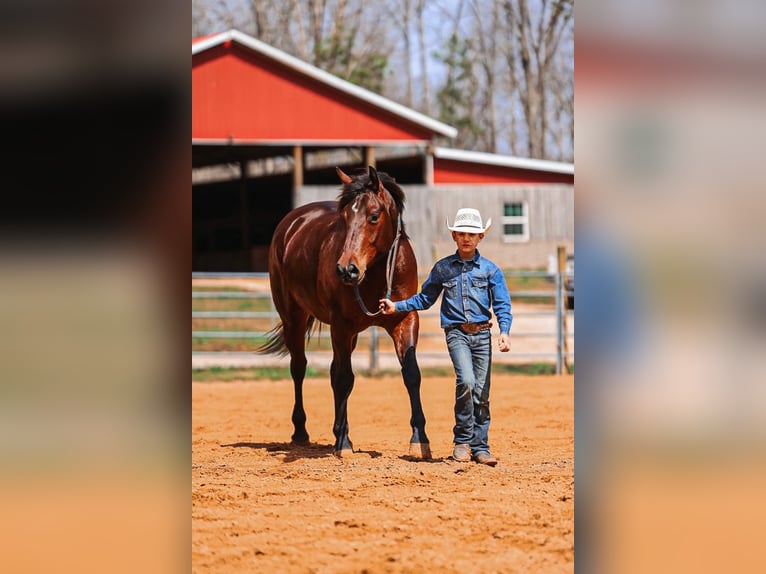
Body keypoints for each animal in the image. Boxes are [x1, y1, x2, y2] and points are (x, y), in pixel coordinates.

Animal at [258, 165, 431, 459]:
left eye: (374, 216)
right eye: (345, 218)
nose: (346, 269)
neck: (377, 272)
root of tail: (291, 223)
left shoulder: (405, 319)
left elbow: (411, 374)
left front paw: (419, 440)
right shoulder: (341, 324)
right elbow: (345, 379)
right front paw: (344, 443)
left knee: (331, 370)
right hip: (294, 318)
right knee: (300, 368)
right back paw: (302, 431)